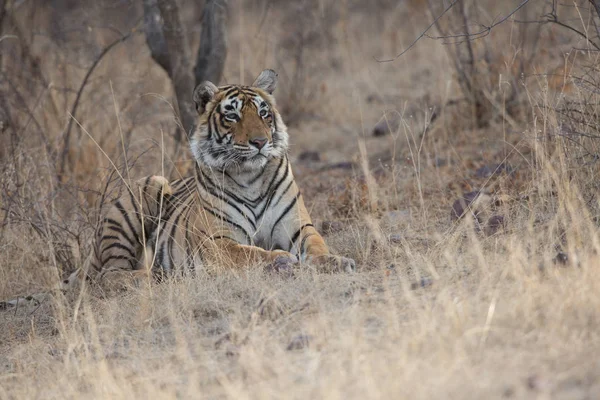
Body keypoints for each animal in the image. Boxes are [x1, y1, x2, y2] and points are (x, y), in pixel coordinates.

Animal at [0, 68, 354, 306]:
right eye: (233, 116)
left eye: (264, 113)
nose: (260, 142)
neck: (251, 176)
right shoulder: (218, 242)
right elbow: (249, 254)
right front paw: (280, 260)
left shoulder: (298, 227)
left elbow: (317, 247)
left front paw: (337, 262)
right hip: (144, 191)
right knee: (109, 278)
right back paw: (156, 277)